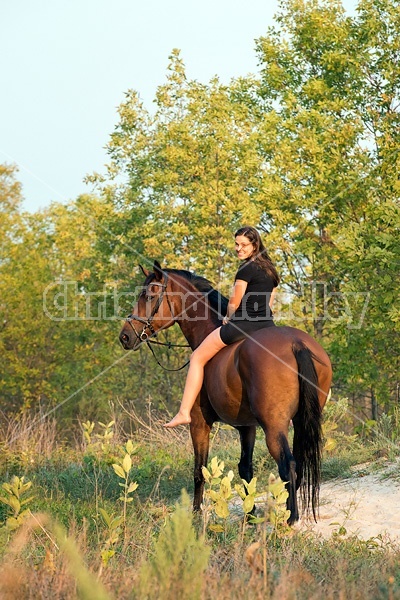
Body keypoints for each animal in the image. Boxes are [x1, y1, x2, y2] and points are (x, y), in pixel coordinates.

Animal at [119, 260, 332, 524]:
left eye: (148, 295)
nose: (125, 336)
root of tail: (296, 343)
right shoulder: (247, 427)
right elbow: (245, 468)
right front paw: (250, 515)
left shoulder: (199, 424)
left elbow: (199, 470)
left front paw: (196, 514)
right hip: (301, 420)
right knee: (300, 463)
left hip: (274, 426)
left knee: (288, 466)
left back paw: (290, 518)